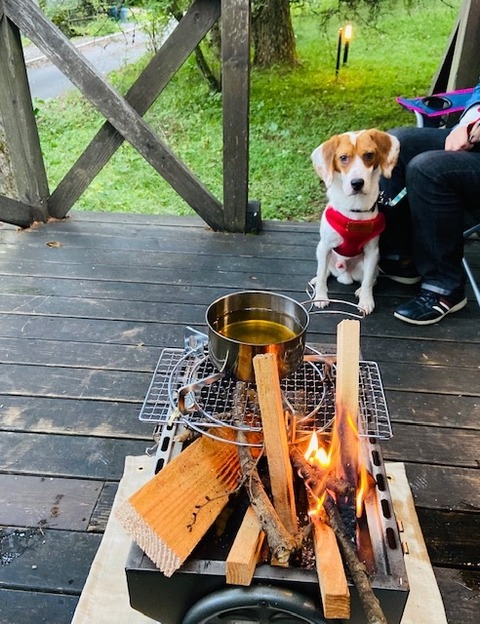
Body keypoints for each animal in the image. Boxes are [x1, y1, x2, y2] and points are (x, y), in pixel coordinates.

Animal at [310, 129, 400, 314]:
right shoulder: (325, 246)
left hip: (372, 264)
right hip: (321, 252)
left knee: (371, 279)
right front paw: (321, 297)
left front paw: (366, 300)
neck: (355, 208)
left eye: (369, 155)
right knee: (324, 271)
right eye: (343, 157)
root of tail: (345, 274)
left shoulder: (372, 251)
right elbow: (322, 276)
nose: (357, 183)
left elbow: (367, 282)